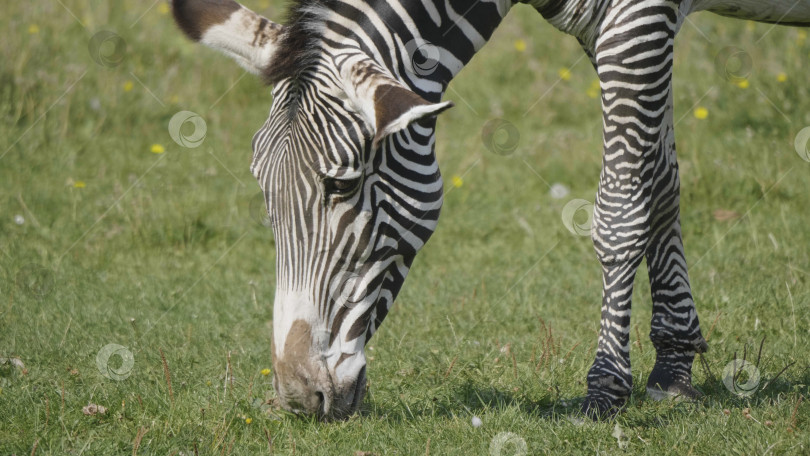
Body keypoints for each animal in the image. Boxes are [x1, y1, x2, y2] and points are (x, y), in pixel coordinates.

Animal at [170, 0, 808, 420]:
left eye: (340, 186)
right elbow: (661, 185)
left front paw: (606, 387)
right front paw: (674, 366)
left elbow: (622, 209)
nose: (301, 398)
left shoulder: (638, 20)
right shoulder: (613, 28)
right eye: (263, 190)